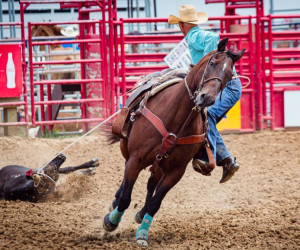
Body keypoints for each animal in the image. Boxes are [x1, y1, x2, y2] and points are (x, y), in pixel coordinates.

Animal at [102, 38, 245, 245]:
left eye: (228, 76)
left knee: (151, 184)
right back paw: (115, 203)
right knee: (126, 184)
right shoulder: (136, 158)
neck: (176, 116)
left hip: (160, 165)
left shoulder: (176, 171)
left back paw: (140, 214)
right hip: (128, 152)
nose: (207, 98)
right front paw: (111, 221)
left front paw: (142, 233)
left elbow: (155, 202)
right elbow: (125, 197)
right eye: (212, 63)